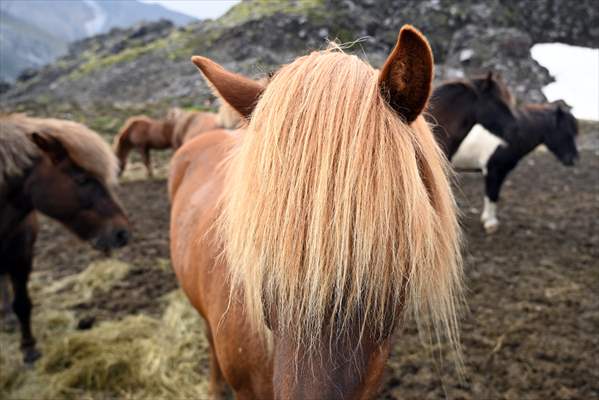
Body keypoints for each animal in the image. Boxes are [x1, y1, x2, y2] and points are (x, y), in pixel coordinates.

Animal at [452, 101, 580, 233]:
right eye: (566, 132)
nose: (573, 159)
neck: (508, 136)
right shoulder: (493, 171)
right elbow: (492, 194)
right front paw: (490, 223)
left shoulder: (499, 172)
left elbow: (492, 195)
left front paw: (487, 219)